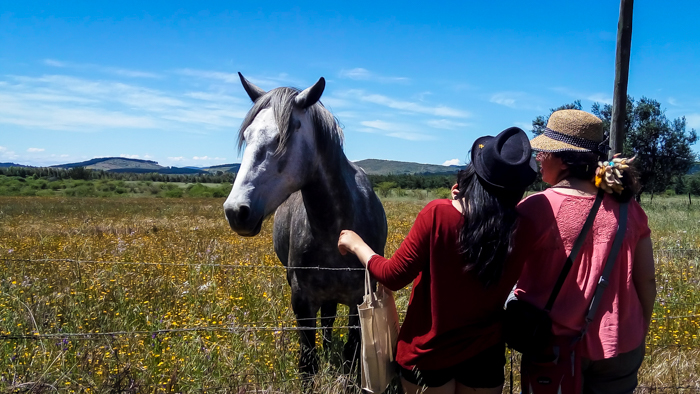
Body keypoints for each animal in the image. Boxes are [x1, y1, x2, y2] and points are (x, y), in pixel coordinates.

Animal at [224, 73, 388, 378]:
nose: (236, 211)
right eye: (247, 135)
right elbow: (307, 363)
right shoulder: (302, 301)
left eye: (281, 138)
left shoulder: (359, 299)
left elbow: (352, 355)